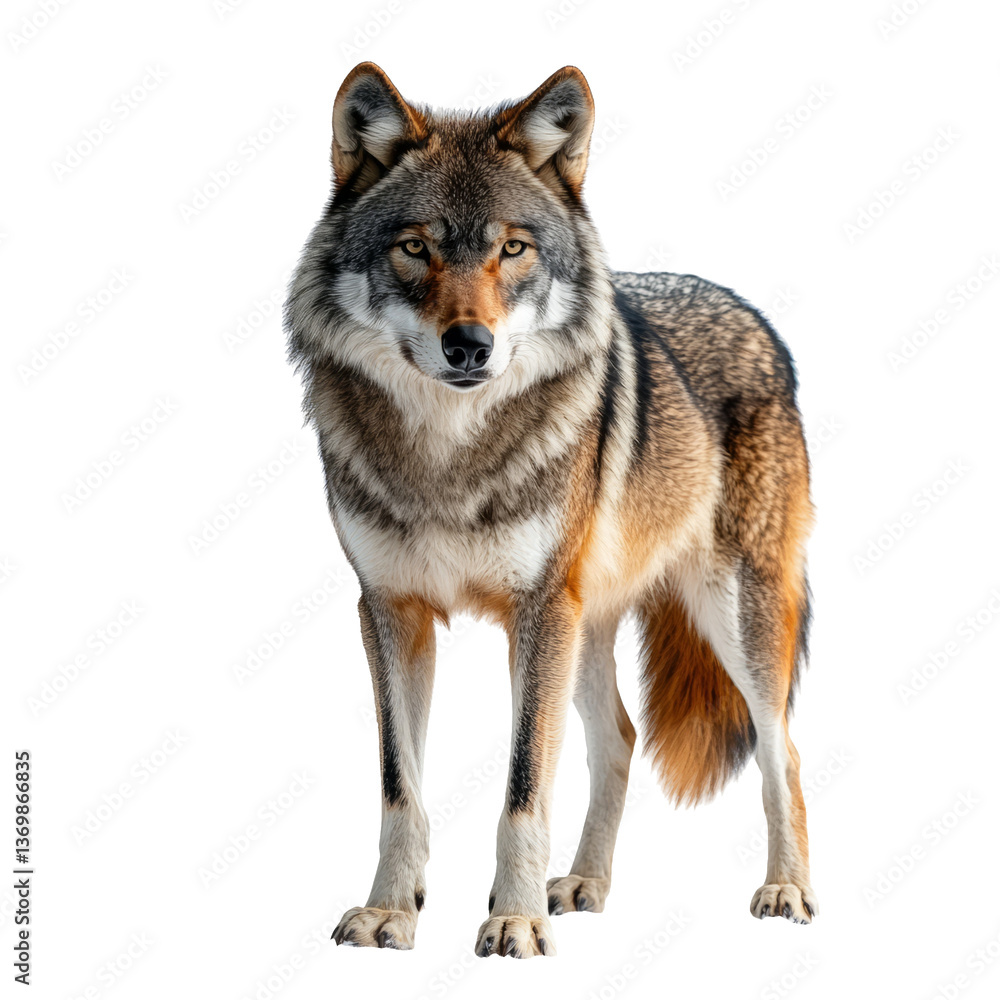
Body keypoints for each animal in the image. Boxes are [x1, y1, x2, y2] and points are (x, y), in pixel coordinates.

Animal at [285, 62, 818, 958]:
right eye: (415, 247)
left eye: (512, 247)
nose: (470, 345)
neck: (449, 458)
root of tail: (754, 316)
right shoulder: (390, 610)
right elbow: (401, 786)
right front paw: (393, 911)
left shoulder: (536, 613)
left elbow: (523, 783)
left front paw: (514, 919)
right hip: (589, 625)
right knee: (623, 740)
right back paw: (585, 885)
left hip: (731, 619)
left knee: (784, 751)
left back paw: (786, 889)